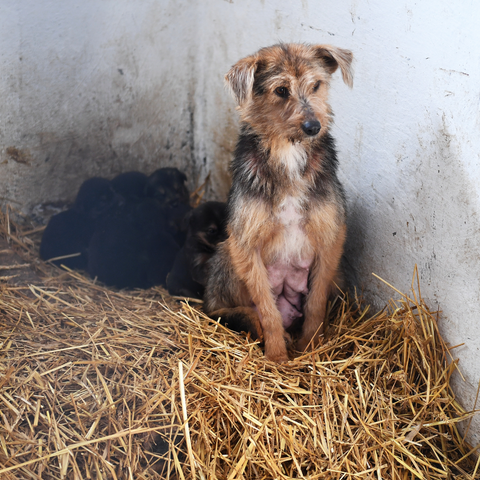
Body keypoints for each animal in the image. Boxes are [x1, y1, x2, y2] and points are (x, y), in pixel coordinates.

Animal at [202, 43, 352, 362]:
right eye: (281, 90)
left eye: (316, 85)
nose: (313, 126)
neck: (288, 153)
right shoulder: (245, 243)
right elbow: (267, 311)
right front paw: (277, 357)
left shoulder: (331, 238)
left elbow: (316, 304)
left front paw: (310, 349)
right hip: (226, 254)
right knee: (226, 309)